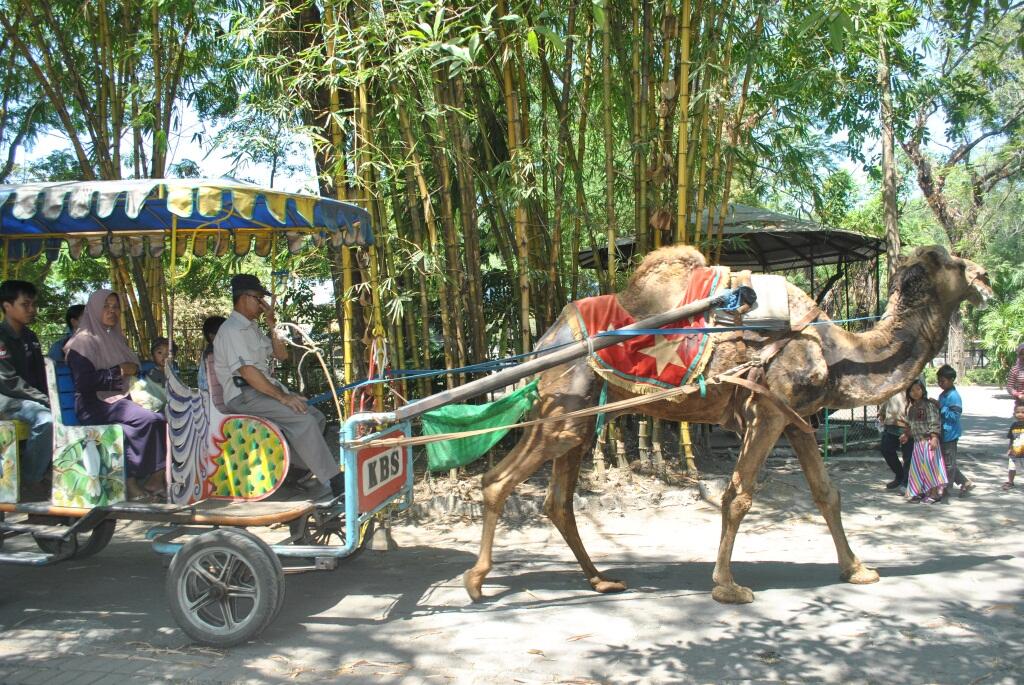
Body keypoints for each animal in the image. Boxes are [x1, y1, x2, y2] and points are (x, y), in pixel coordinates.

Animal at [464, 242, 991, 602]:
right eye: (947, 260)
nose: (986, 276)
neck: (834, 349)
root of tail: (545, 340)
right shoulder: (768, 411)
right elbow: (737, 496)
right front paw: (727, 587)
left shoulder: (795, 419)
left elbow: (827, 494)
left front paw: (858, 569)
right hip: (565, 407)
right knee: (497, 481)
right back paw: (476, 581)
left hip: (576, 412)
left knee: (557, 500)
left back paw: (600, 579)